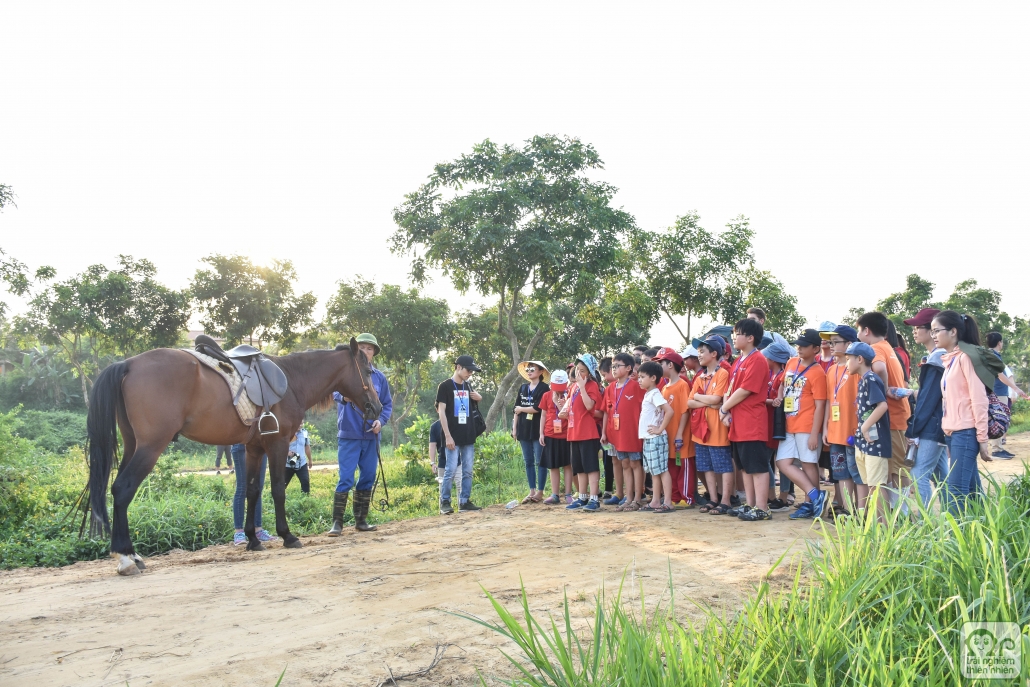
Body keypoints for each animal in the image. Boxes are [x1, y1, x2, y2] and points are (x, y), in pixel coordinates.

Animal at [86, 337, 381, 576]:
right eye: (368, 371)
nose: (377, 408)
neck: (292, 380)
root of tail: (128, 363)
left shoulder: (254, 449)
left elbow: (252, 491)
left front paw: (253, 539)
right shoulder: (277, 444)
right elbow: (277, 490)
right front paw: (287, 535)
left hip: (133, 444)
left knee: (117, 489)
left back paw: (132, 555)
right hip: (150, 446)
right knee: (123, 489)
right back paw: (125, 557)